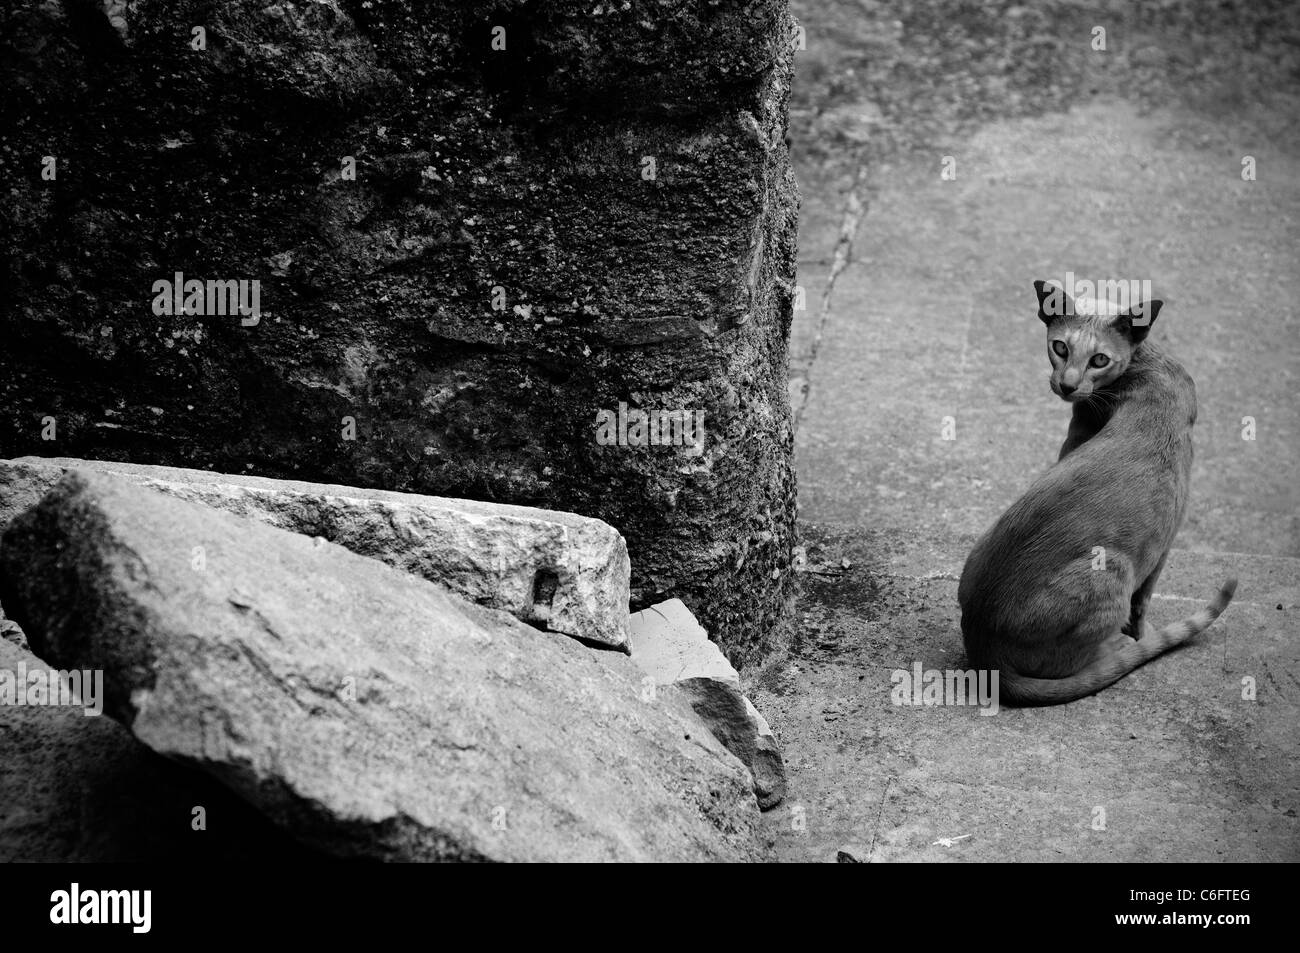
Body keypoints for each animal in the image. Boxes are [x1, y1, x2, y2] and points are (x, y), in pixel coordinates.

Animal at [961, 278, 1232, 702]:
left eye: (1100, 359)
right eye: (1060, 347)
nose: (1068, 384)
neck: (1145, 366)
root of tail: (983, 650)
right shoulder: (1165, 544)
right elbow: (1143, 607)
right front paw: (1138, 636)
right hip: (1115, 569)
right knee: (1071, 662)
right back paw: (1117, 648)